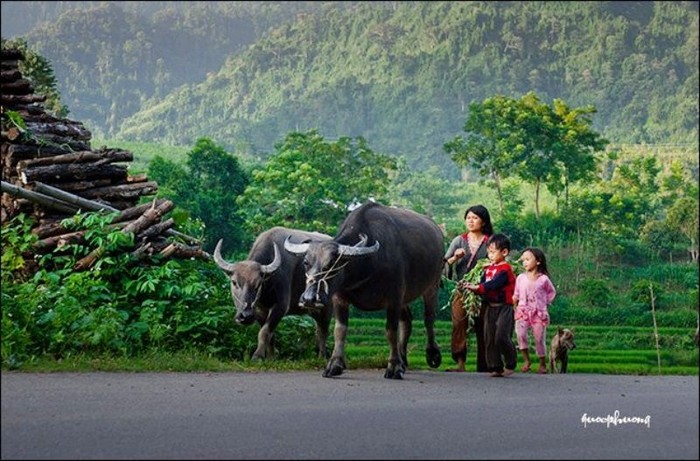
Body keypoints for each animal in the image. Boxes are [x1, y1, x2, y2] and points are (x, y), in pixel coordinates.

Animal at [213, 226, 334, 360]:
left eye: (258, 285)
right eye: (234, 282)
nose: (246, 316)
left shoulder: (280, 307)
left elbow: (265, 332)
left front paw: (258, 356)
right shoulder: (259, 310)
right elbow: (271, 335)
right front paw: (271, 357)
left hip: (327, 306)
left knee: (324, 330)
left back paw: (322, 356)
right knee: (318, 329)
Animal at [284, 201, 442, 378]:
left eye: (332, 263)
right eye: (306, 262)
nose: (309, 298)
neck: (366, 265)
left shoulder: (394, 297)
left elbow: (391, 331)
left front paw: (393, 366)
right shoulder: (340, 297)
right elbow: (340, 330)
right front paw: (334, 364)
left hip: (432, 285)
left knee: (429, 318)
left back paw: (431, 354)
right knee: (407, 320)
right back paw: (403, 360)